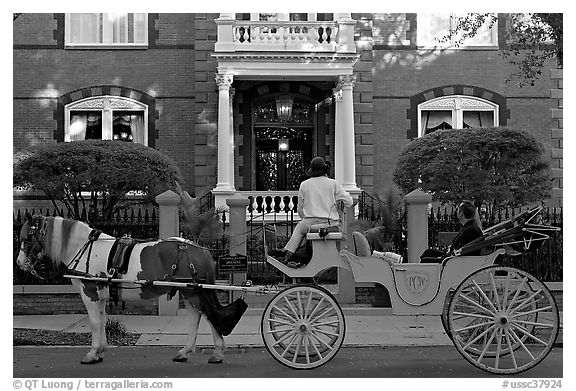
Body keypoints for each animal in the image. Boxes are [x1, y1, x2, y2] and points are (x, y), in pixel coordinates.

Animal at [15, 214, 241, 364]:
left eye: (26, 237)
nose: (19, 262)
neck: (84, 248)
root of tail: (199, 248)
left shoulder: (90, 292)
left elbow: (94, 322)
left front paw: (92, 353)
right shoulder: (101, 295)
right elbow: (102, 321)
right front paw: (101, 350)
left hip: (194, 291)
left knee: (208, 315)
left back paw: (217, 352)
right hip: (189, 290)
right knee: (196, 317)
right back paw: (185, 351)